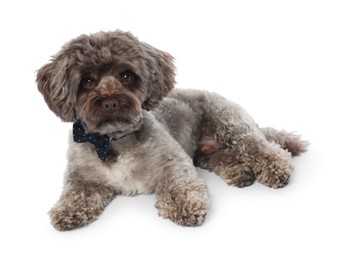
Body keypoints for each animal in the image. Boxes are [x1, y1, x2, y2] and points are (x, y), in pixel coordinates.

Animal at [36, 29, 308, 231]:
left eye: (127, 76)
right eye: (88, 81)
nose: (111, 102)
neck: (113, 141)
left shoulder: (173, 162)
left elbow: (181, 185)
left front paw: (185, 205)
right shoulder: (82, 177)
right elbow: (76, 194)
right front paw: (67, 210)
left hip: (230, 123)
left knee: (260, 147)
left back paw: (276, 169)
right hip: (204, 154)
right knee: (224, 156)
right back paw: (241, 172)